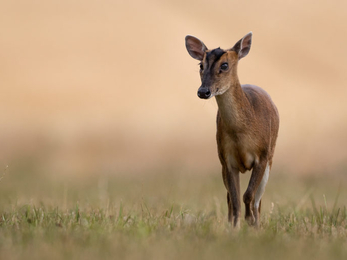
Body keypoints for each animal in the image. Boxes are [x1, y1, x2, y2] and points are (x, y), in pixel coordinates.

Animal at [185, 32, 280, 228]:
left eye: (225, 65)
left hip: (271, 157)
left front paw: (251, 222)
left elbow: (249, 195)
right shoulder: (225, 159)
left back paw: (256, 222)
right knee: (229, 197)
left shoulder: (262, 156)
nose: (203, 91)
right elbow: (235, 199)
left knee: (258, 200)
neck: (241, 134)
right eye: (201, 65)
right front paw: (235, 227)